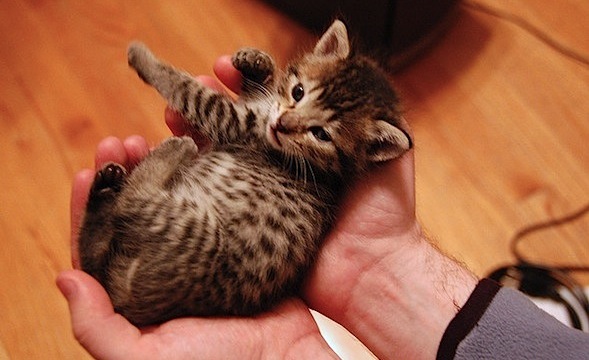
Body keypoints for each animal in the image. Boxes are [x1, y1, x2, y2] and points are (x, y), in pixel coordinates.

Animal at [78, 20, 412, 326]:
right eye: (298, 92)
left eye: (321, 134)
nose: (281, 125)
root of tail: (130, 303)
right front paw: (257, 62)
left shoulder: (234, 121)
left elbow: (189, 90)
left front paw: (145, 59)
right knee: (92, 261)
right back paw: (105, 187)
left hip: (200, 235)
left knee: (131, 204)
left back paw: (176, 149)